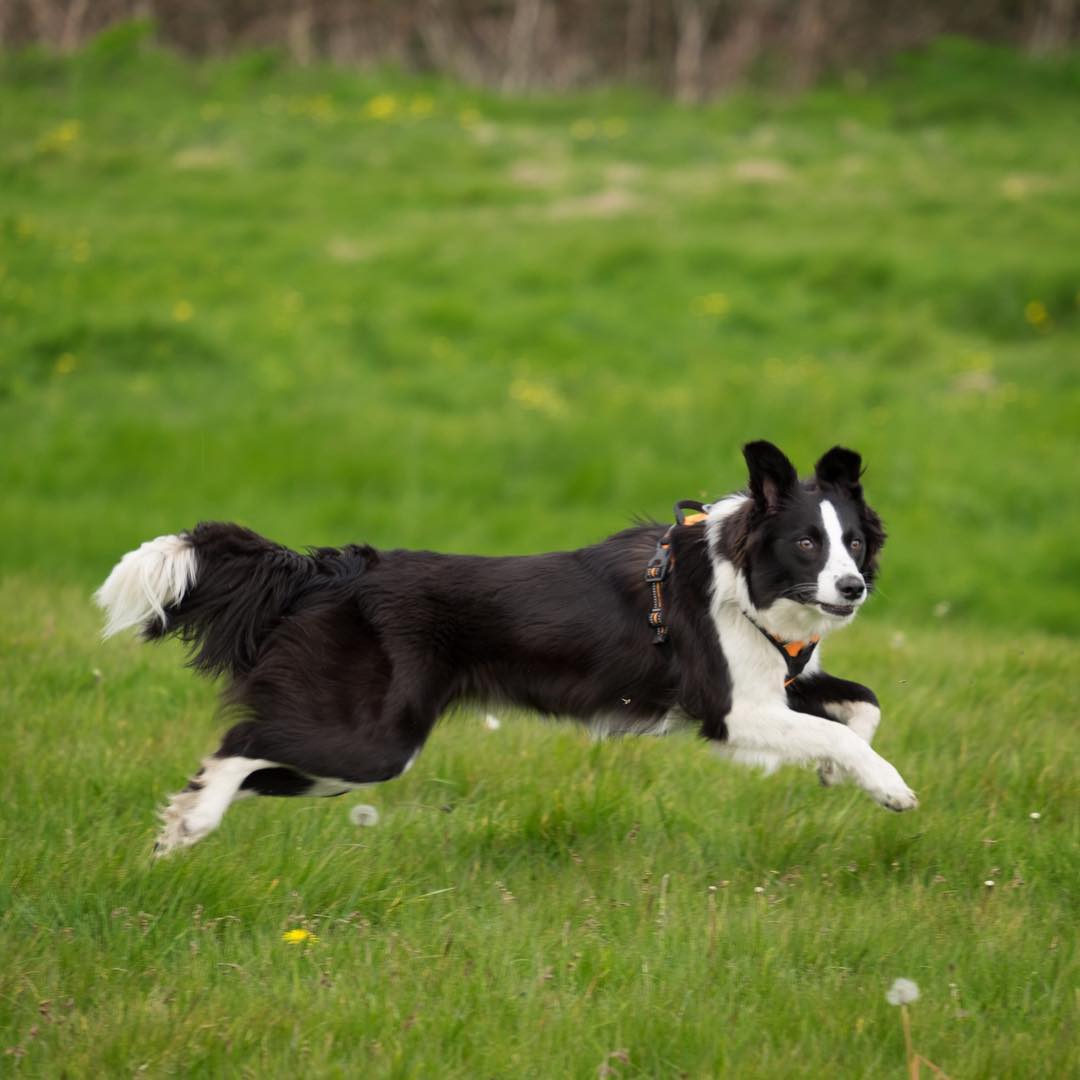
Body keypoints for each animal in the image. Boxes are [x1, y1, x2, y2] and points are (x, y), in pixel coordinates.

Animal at [96, 440, 917, 856]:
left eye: (852, 542)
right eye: (807, 543)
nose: (852, 589)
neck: (740, 579)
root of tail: (333, 568)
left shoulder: (784, 681)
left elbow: (864, 708)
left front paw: (837, 776)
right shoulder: (731, 709)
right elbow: (843, 733)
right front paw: (888, 787)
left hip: (349, 759)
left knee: (251, 761)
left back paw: (184, 817)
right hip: (372, 739)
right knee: (243, 739)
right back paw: (195, 822)